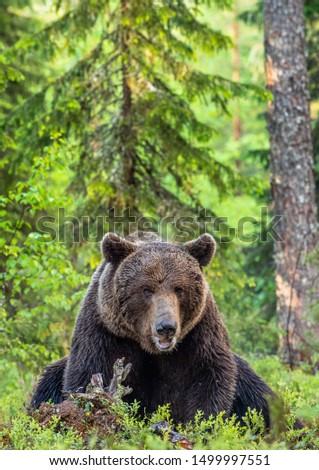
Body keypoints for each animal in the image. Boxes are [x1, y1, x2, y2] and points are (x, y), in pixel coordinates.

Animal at [31, 232, 278, 426]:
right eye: (146, 289)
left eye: (180, 289)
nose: (166, 327)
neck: (150, 348)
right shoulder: (104, 331)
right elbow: (88, 375)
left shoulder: (198, 334)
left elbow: (209, 378)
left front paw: (201, 426)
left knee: (262, 400)